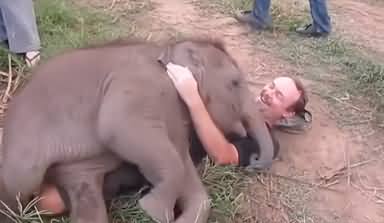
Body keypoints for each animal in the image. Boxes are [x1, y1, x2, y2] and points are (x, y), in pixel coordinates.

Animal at [0, 37, 276, 223]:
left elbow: (182, 163)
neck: (168, 49)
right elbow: (117, 126)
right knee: (15, 192)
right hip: (22, 154)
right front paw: (152, 211)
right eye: (235, 83)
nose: (253, 159)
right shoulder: (145, 85)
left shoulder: (175, 113)